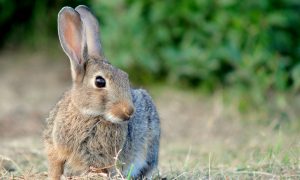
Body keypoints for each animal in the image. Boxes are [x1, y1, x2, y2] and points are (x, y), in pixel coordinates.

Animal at [43, 4, 161, 179]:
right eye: (100, 82)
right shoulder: (55, 149)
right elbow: (56, 168)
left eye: (125, 77)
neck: (88, 115)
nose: (129, 111)